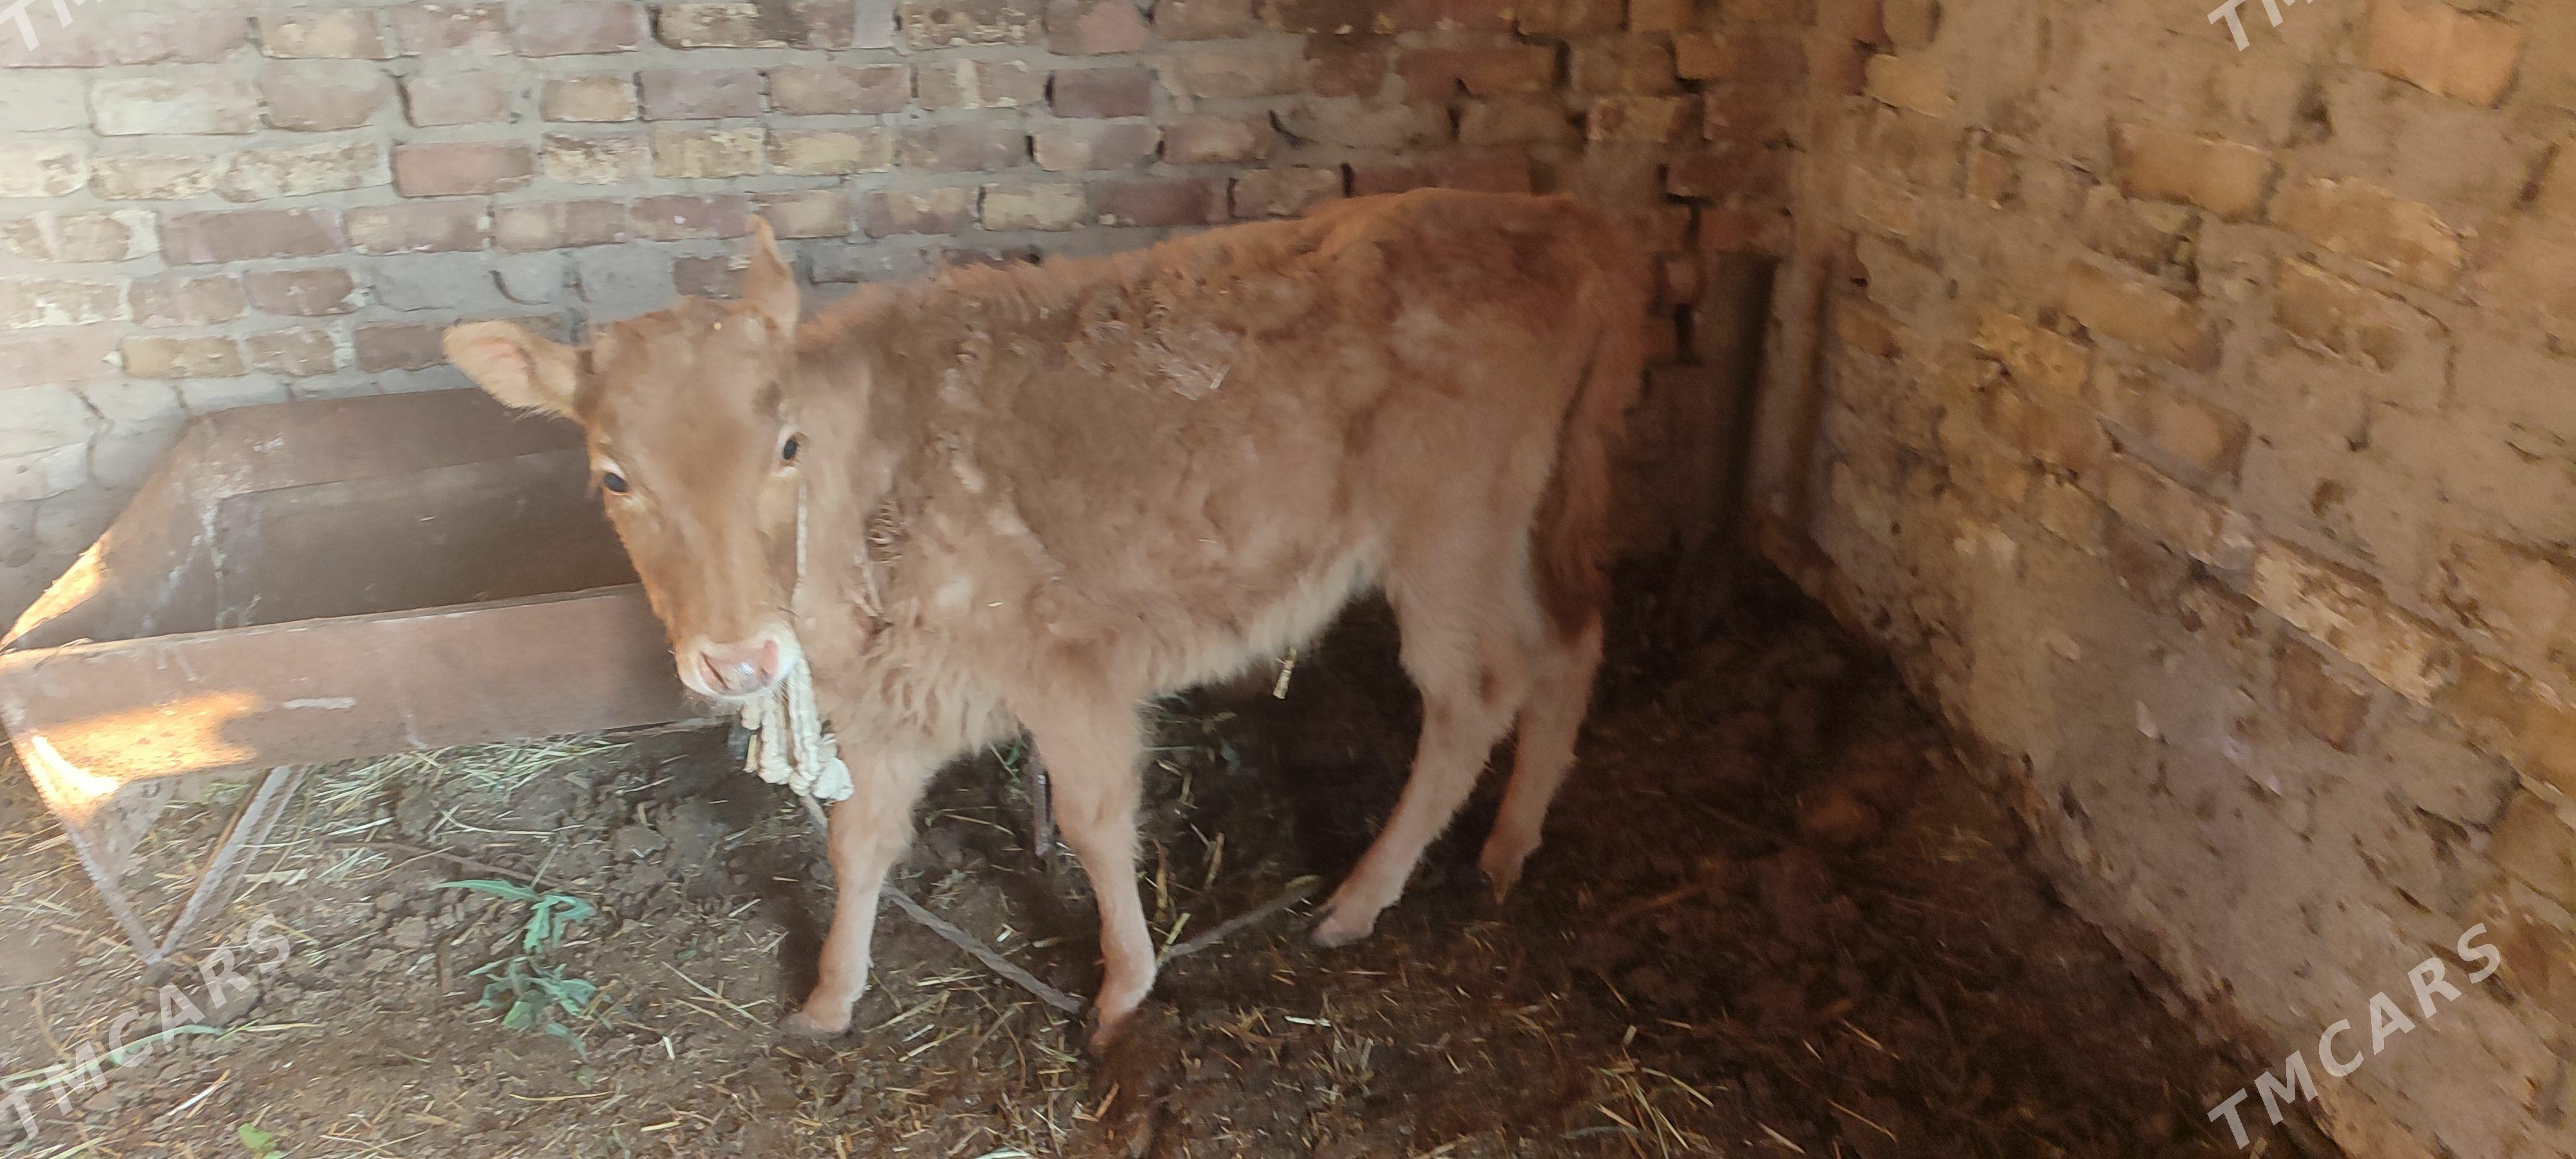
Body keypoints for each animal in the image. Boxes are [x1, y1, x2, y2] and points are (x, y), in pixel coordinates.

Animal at [443, 188, 1648, 1046]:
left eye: (785, 445)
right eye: (614, 476)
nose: (739, 658)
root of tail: (1566, 219)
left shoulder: (1067, 666)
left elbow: (1096, 821)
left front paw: (1124, 989)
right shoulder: (891, 700)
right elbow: (858, 842)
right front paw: (830, 998)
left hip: (1448, 540)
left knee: (1473, 695)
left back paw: (1359, 900)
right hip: (1526, 520)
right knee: (1570, 647)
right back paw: (1507, 848)